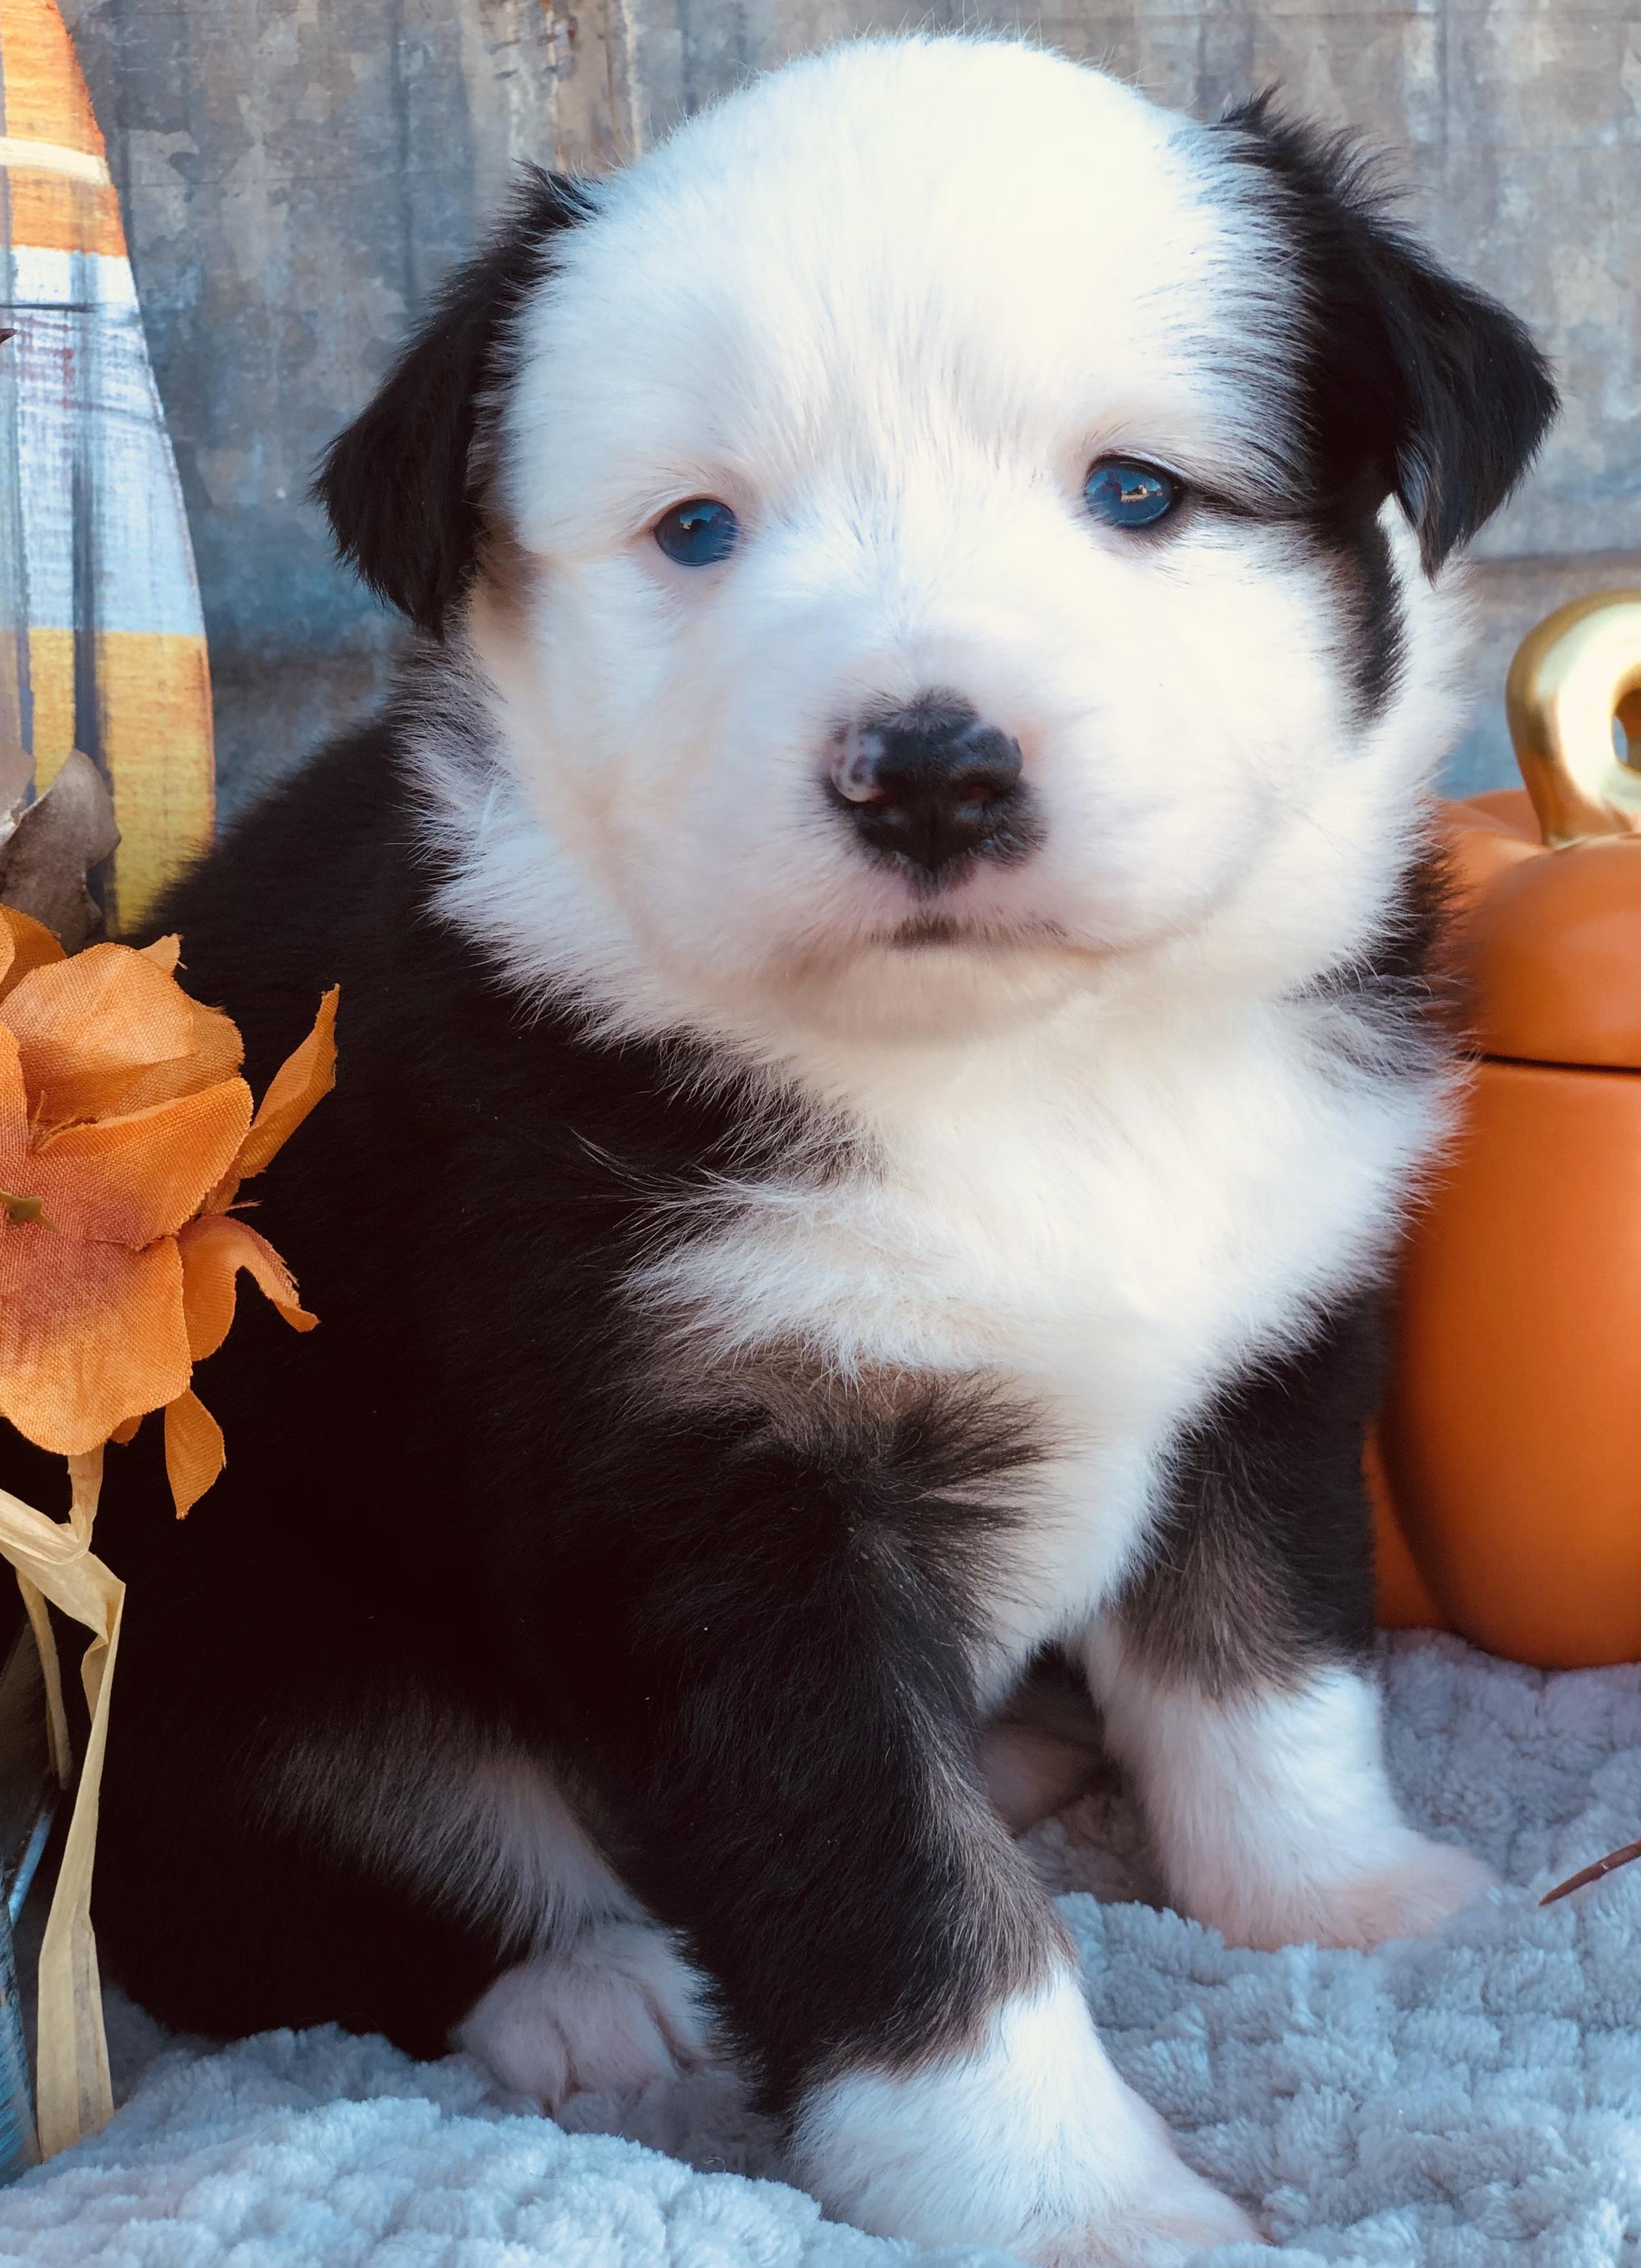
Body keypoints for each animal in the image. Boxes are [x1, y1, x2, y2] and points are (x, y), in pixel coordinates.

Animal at [88, 34, 1554, 2264]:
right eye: (696, 528)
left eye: (1136, 493)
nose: (930, 768)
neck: (1025, 1072)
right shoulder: (710, 1488)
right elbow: (900, 1900)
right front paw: (1072, 2203)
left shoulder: (1274, 1339)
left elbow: (1269, 1665)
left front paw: (1336, 1896)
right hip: (226, 1606)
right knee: (274, 1877)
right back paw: (588, 1989)